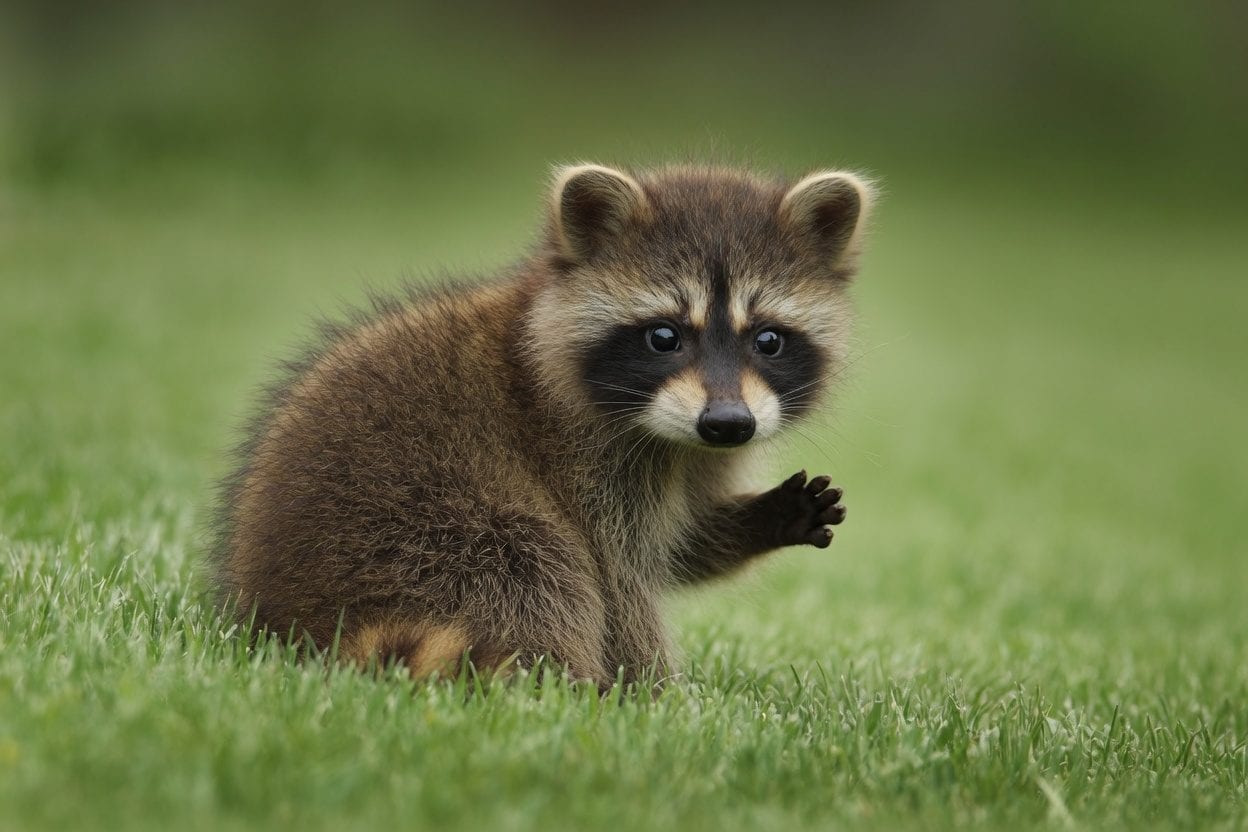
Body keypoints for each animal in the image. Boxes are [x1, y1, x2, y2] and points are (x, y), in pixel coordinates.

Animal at [214, 163, 874, 687]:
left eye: (768, 340)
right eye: (664, 337)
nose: (728, 423)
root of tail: (289, 627)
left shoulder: (697, 451)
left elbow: (681, 544)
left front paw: (766, 516)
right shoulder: (582, 459)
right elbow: (621, 580)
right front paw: (654, 694)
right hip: (429, 536)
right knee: (542, 571)